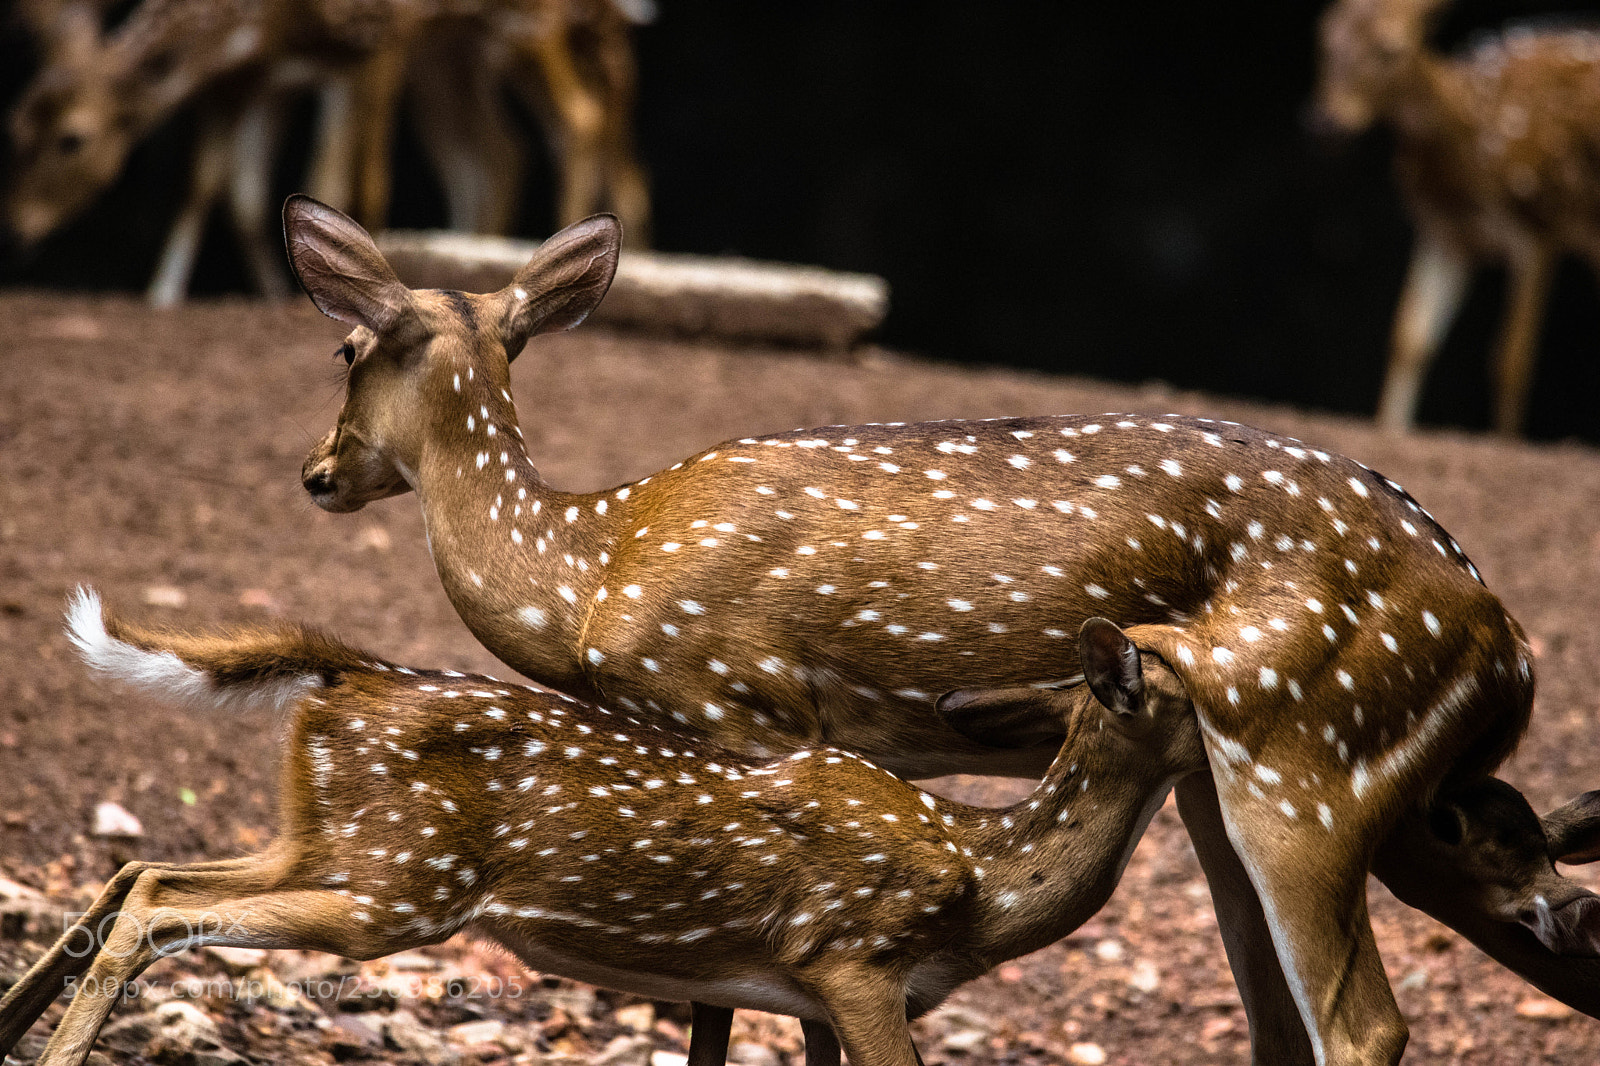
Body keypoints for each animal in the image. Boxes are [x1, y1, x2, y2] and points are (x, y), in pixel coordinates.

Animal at [0, 590, 1217, 1066]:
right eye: (1189, 686)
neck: (985, 881)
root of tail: (345, 674)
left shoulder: (814, 989)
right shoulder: (852, 953)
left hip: (335, 842)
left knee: (141, 871)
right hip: (402, 885)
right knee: (158, 909)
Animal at [1312, 0, 1600, 436]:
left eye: (1390, 50)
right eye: (1324, 42)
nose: (1325, 125)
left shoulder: (1538, 227)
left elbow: (1511, 358)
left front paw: (1505, 441)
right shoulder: (1445, 233)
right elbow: (1409, 339)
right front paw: (1391, 430)